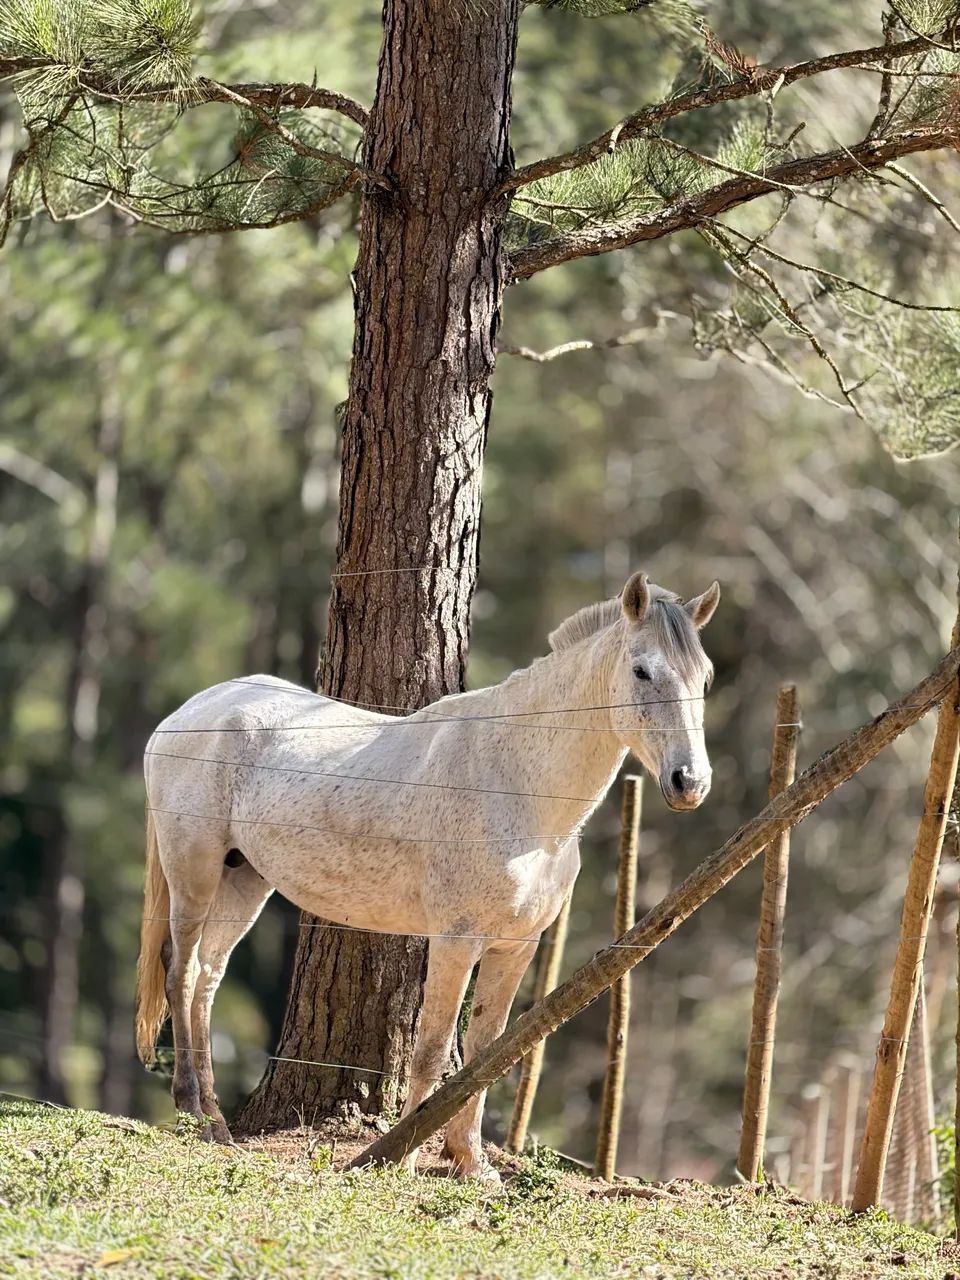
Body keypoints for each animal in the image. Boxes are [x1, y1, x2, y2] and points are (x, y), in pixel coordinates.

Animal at [135, 570, 720, 1181]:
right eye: (642, 671)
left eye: (704, 677)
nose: (690, 782)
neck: (517, 783)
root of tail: (190, 711)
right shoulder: (457, 941)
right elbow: (434, 1048)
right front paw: (406, 1155)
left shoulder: (516, 946)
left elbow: (486, 1050)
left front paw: (471, 1162)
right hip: (195, 871)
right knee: (181, 971)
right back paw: (193, 1113)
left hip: (245, 880)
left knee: (207, 979)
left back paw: (216, 1123)